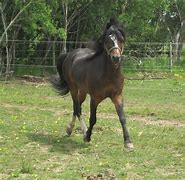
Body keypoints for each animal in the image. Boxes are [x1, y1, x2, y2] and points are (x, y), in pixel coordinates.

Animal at [51, 18, 134, 150]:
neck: (109, 75)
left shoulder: (117, 96)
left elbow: (122, 118)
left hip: (83, 91)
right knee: (77, 108)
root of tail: (70, 54)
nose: (116, 58)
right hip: (73, 88)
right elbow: (93, 119)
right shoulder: (94, 98)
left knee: (77, 107)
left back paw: (70, 129)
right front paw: (88, 137)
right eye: (108, 39)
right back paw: (82, 132)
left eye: (121, 39)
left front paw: (128, 142)